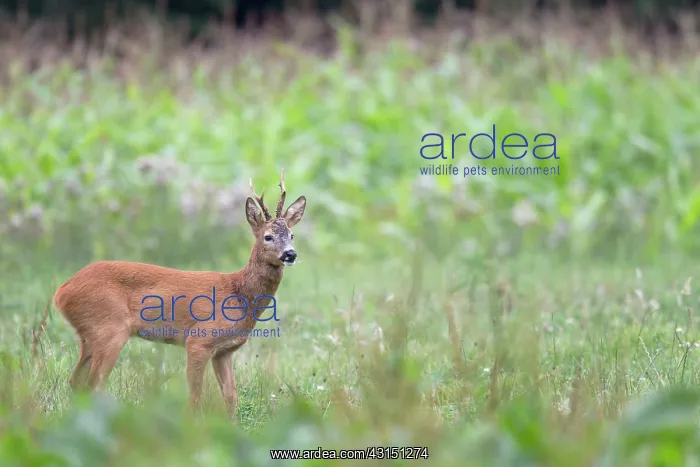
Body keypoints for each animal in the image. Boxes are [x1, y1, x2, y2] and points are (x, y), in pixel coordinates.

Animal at [52, 169, 306, 418]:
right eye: (268, 236)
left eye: (292, 235)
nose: (290, 254)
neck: (239, 293)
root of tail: (61, 291)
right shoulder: (199, 339)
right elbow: (195, 395)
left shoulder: (224, 351)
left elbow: (230, 396)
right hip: (110, 328)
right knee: (93, 384)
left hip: (90, 335)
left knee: (76, 381)